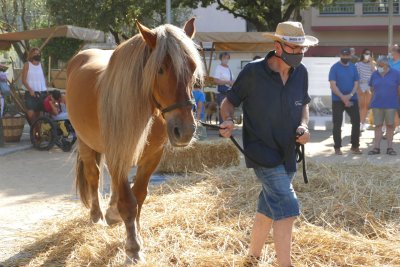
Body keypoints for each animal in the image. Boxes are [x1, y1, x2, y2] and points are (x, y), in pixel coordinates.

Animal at [66, 18, 205, 264]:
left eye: (192, 67)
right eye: (160, 69)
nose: (185, 130)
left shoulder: (151, 157)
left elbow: (138, 196)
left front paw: (136, 232)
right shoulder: (118, 153)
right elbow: (129, 202)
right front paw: (133, 248)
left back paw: (111, 213)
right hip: (85, 142)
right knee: (93, 175)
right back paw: (97, 215)